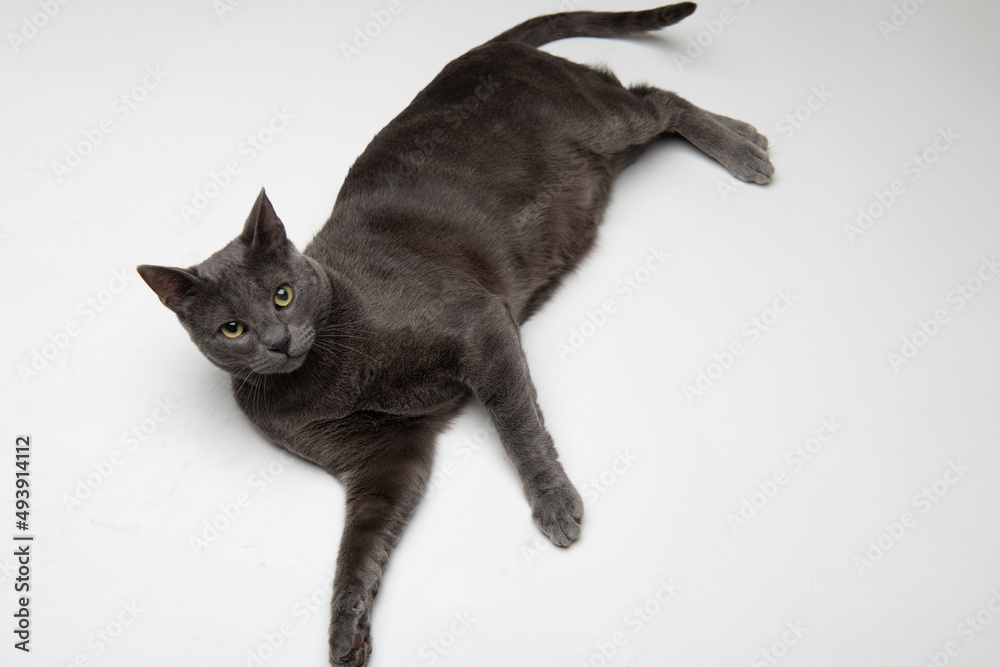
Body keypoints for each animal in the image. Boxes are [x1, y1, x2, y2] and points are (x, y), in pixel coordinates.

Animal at [135, 2, 772, 664]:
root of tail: (486, 49)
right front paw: (345, 631)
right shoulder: (386, 455)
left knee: (655, 99)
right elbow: (359, 545)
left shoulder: (479, 323)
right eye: (232, 328)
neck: (329, 376)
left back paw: (745, 148)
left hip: (597, 121)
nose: (278, 341)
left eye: (282, 294)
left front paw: (554, 503)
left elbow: (517, 423)